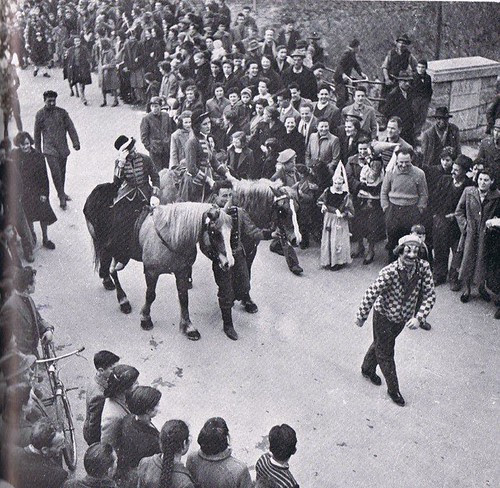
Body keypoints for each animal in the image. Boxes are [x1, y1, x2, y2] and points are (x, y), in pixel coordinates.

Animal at [84, 183, 234, 340]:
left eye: (231, 230)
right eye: (214, 232)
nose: (229, 263)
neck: (172, 236)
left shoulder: (182, 271)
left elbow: (184, 298)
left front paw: (188, 327)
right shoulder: (151, 272)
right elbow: (150, 295)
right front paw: (145, 319)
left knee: (112, 268)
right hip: (107, 246)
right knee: (110, 267)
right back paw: (122, 298)